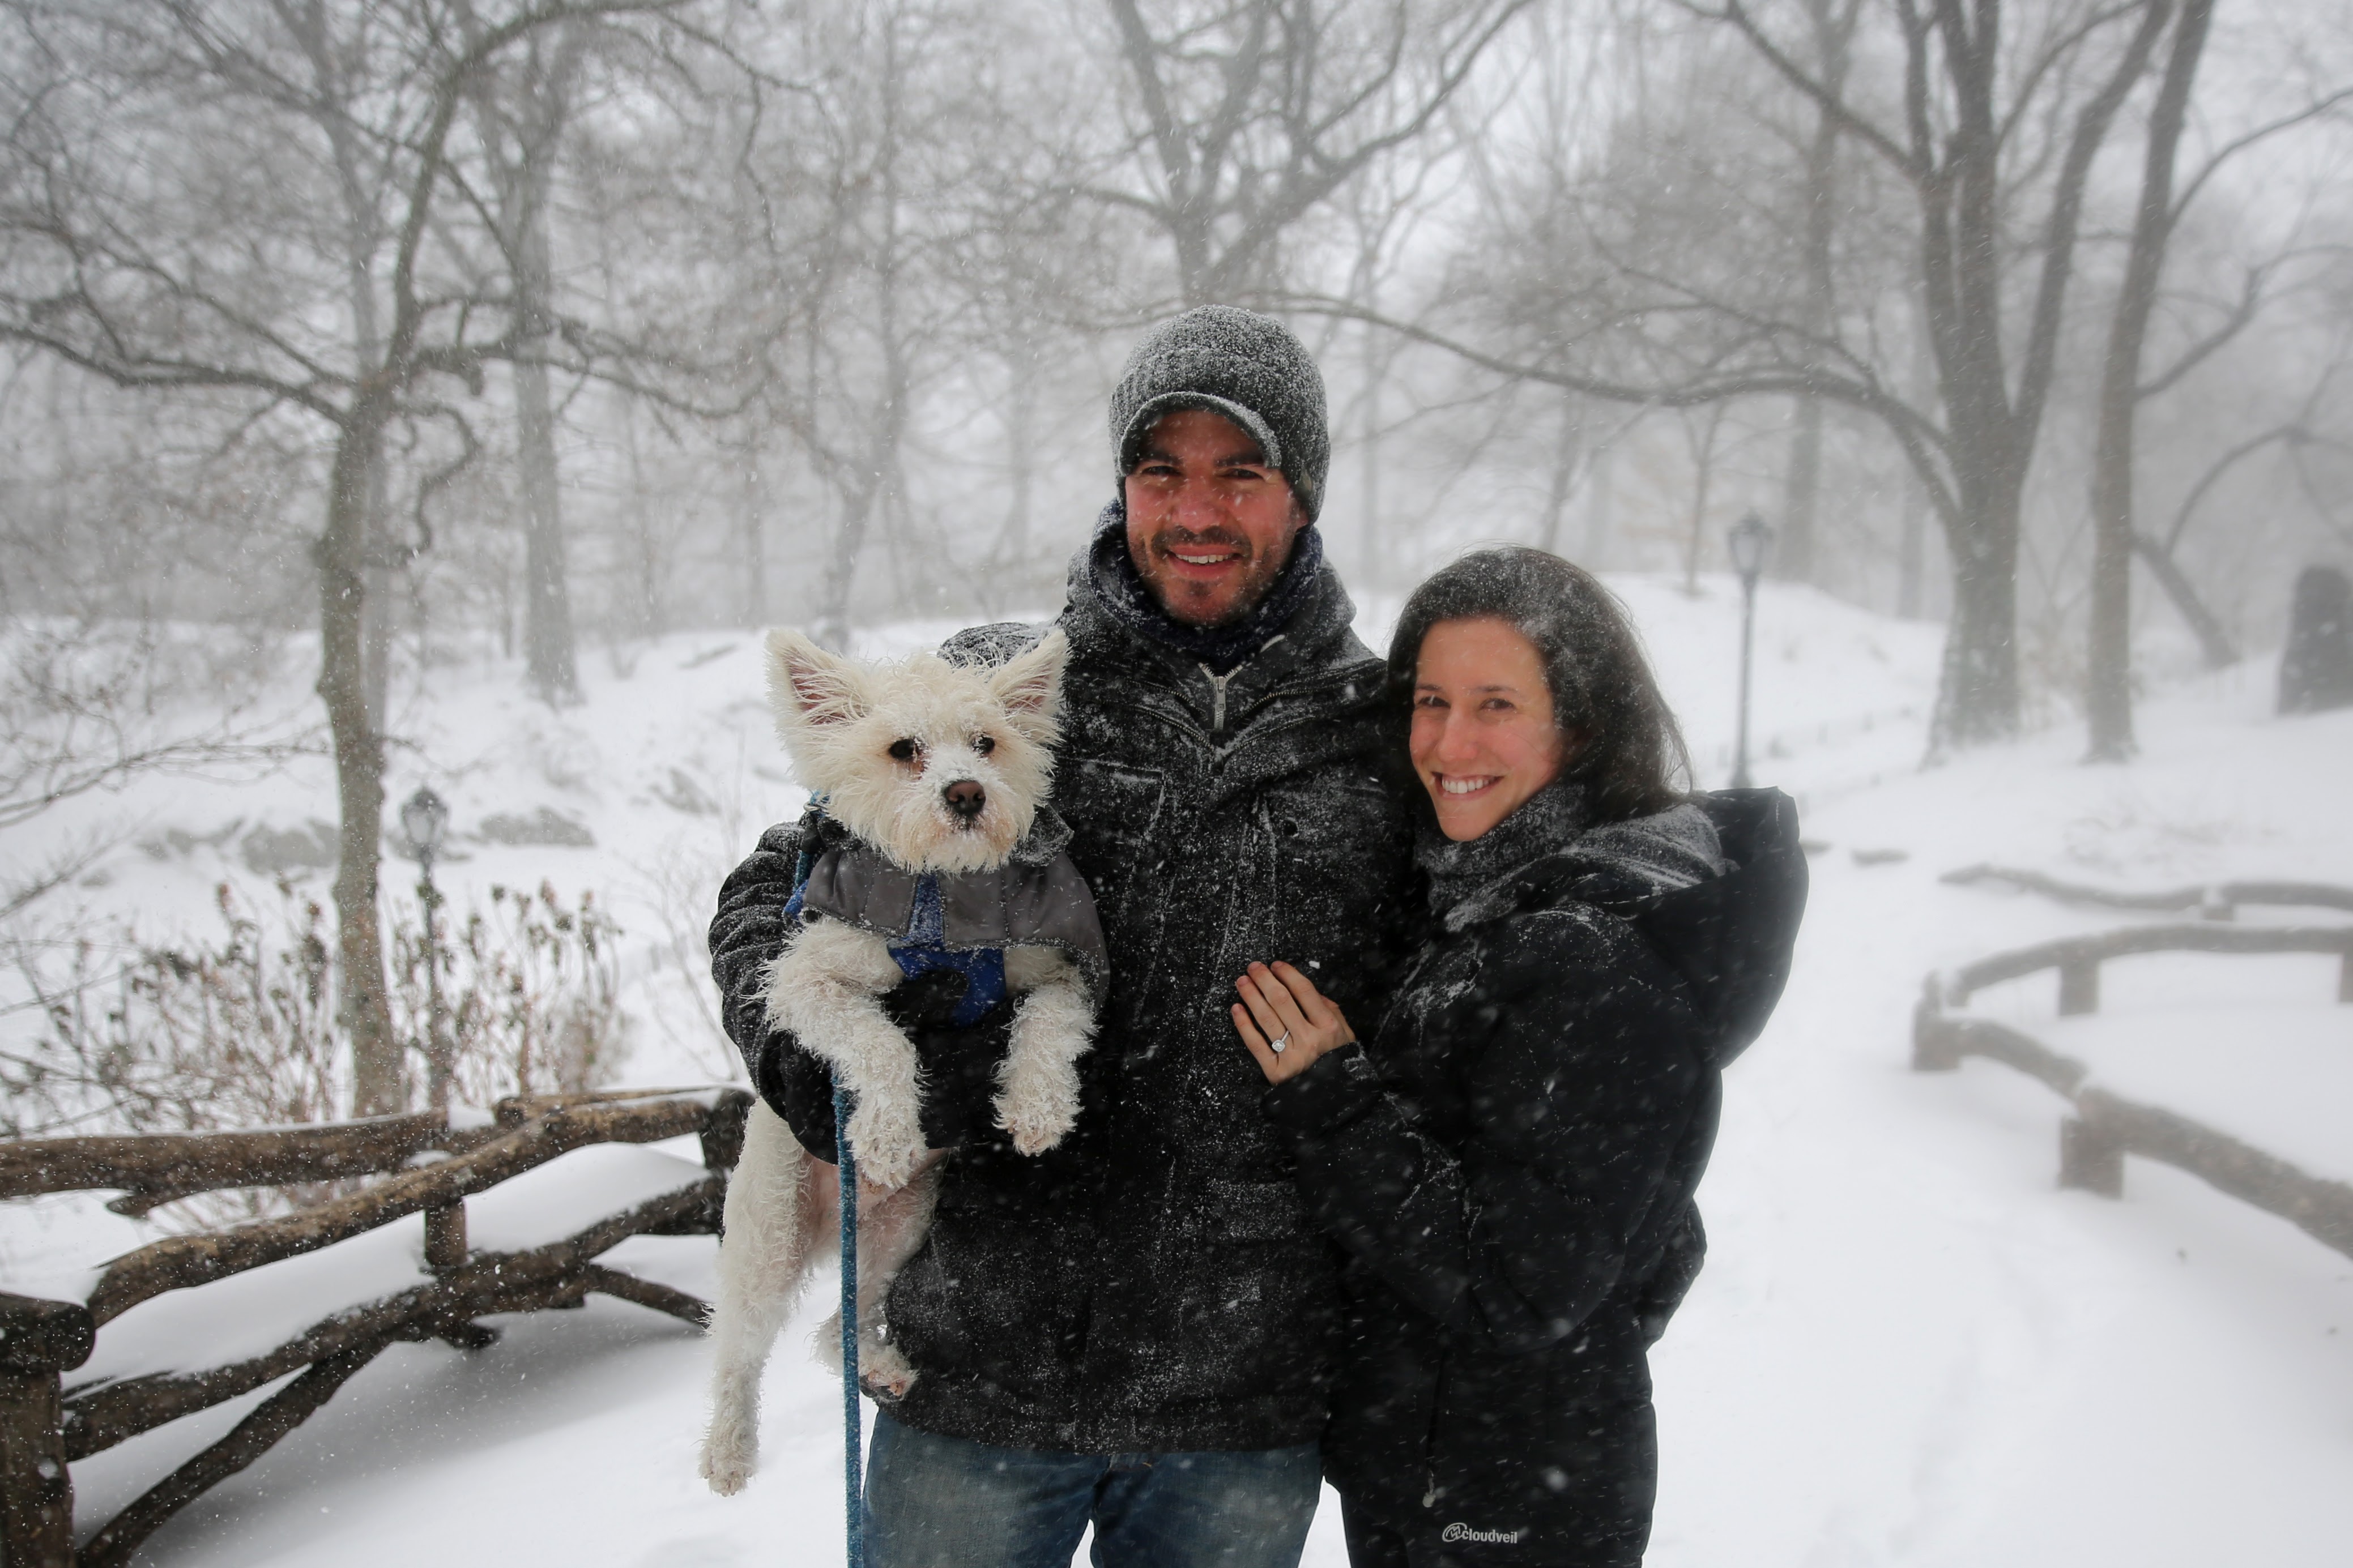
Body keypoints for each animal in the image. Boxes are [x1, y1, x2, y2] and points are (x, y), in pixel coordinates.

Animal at [692, 625, 1106, 1495]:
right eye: (902, 750)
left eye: (986, 744)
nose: (967, 794)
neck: (943, 901)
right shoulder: (806, 979)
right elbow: (875, 1036)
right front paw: (884, 1132)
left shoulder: (1055, 971)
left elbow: (1046, 1022)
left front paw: (1037, 1106)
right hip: (769, 1233)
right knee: (738, 1348)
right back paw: (728, 1449)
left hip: (899, 1225)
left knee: (837, 1323)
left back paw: (879, 1364)